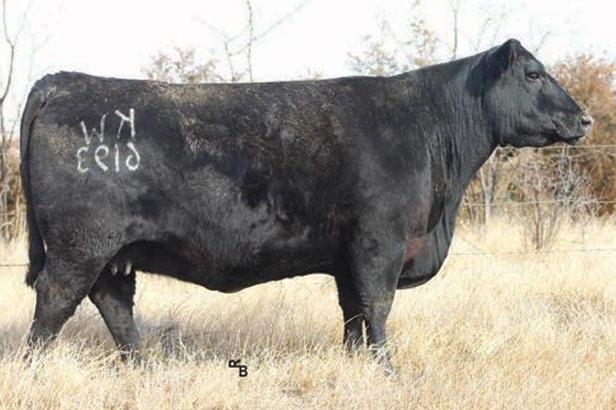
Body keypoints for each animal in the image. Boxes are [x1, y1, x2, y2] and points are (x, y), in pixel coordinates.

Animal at [20, 39, 591, 371]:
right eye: (534, 74)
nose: (584, 119)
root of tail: (63, 81)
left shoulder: (348, 255)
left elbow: (353, 311)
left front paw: (357, 364)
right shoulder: (379, 242)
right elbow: (377, 306)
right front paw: (386, 370)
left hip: (114, 250)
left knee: (113, 303)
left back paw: (143, 368)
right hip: (80, 243)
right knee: (56, 299)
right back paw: (32, 367)